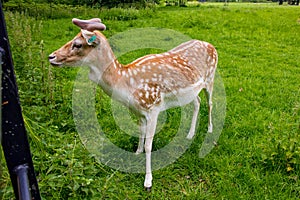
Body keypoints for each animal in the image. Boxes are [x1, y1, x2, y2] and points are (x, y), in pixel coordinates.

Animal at [48, 17, 218, 191]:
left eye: (77, 44)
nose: (51, 57)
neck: (126, 85)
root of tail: (211, 45)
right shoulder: (139, 111)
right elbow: (140, 133)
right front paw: (137, 153)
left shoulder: (153, 107)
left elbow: (150, 144)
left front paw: (148, 181)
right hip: (191, 92)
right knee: (197, 102)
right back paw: (190, 135)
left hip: (211, 78)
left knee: (210, 102)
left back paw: (210, 129)